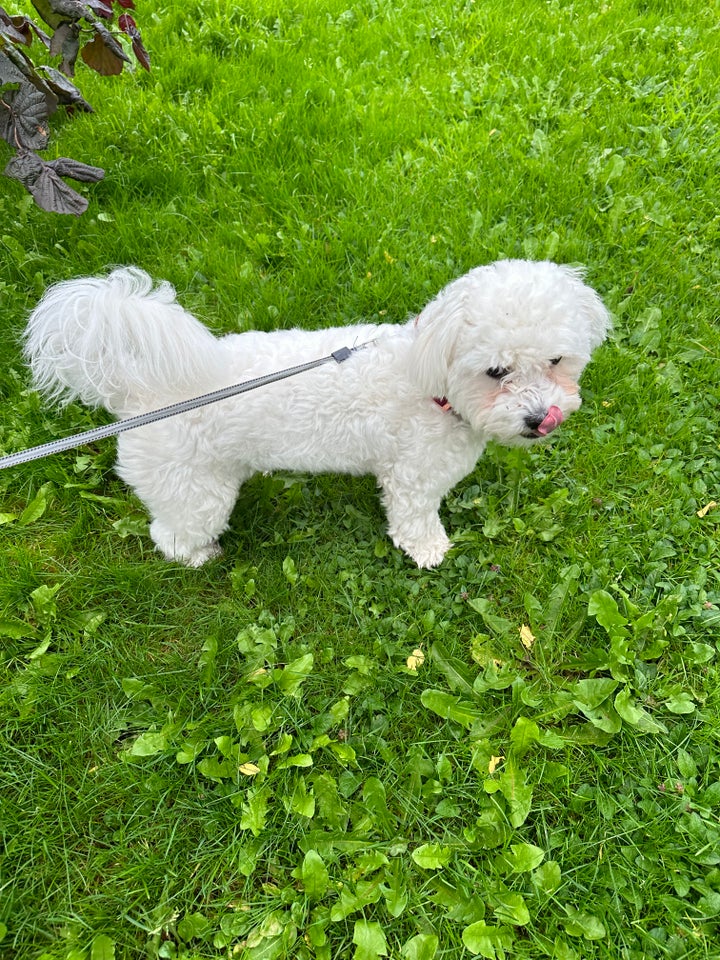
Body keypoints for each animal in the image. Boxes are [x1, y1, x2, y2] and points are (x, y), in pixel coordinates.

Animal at [22, 258, 612, 568]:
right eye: (495, 371)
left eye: (556, 361)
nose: (541, 418)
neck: (431, 383)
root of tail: (136, 393)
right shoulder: (412, 480)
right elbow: (415, 520)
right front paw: (428, 550)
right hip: (196, 492)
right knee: (170, 533)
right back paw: (198, 555)